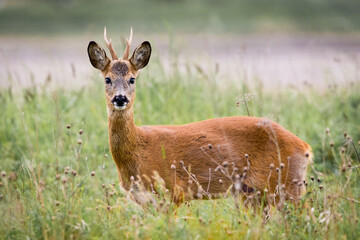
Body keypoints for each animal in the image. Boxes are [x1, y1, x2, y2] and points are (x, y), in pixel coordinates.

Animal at [88, 28, 312, 202]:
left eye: (132, 79)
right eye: (107, 79)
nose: (120, 98)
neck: (138, 151)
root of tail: (305, 147)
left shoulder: (173, 192)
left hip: (287, 185)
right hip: (252, 194)